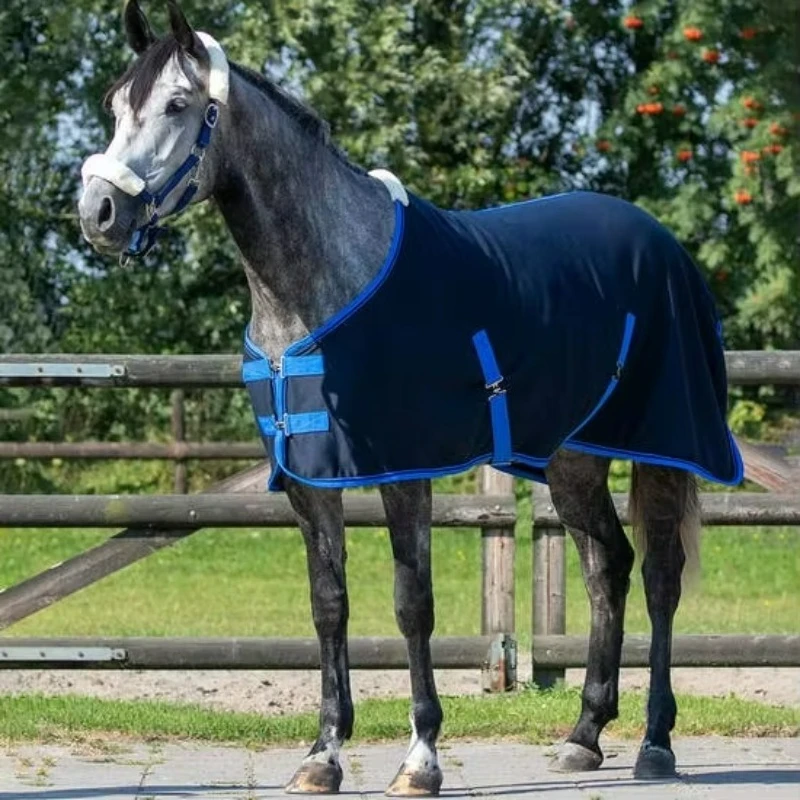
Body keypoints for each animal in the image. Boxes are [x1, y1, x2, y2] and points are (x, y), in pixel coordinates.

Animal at [77, 2, 743, 794]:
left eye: (178, 105)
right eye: (115, 104)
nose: (98, 211)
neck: (320, 283)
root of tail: (666, 245)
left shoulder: (405, 472)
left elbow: (411, 605)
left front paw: (421, 758)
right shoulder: (308, 479)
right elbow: (328, 606)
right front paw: (323, 755)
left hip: (663, 446)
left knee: (661, 577)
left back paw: (655, 744)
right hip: (572, 458)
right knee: (606, 566)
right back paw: (583, 735)